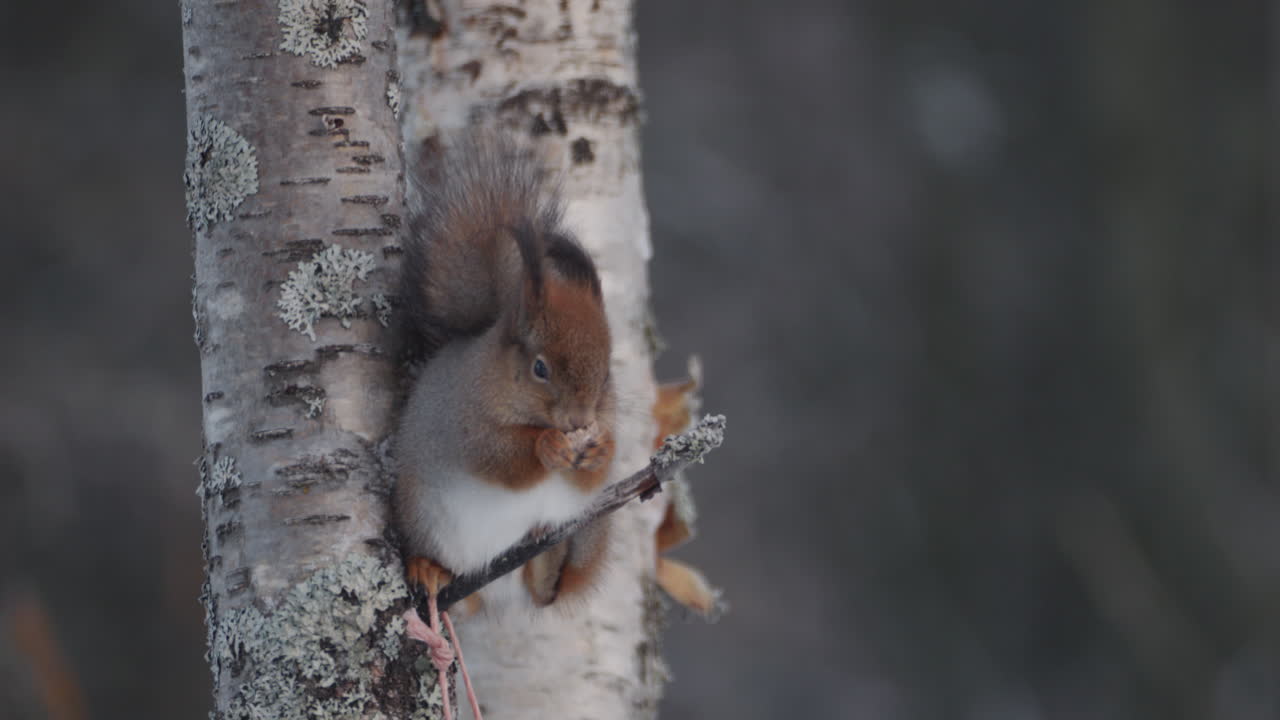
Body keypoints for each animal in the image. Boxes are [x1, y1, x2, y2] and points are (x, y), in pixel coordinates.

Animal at [393, 132, 616, 611]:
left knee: (546, 590)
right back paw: (428, 569)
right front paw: (547, 446)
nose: (580, 421)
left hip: (581, 532)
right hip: (424, 518)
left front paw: (600, 449)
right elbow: (497, 458)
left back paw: (548, 555)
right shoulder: (464, 421)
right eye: (539, 368)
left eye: (608, 373)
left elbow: (589, 481)